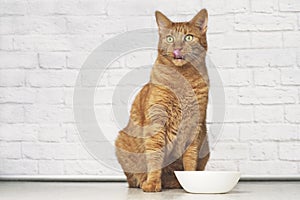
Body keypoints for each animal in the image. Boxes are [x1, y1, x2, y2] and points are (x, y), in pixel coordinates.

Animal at [116, 9, 210, 192]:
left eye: (188, 37)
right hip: (122, 141)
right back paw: (145, 181)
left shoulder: (195, 125)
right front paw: (152, 183)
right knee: (133, 179)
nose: (177, 48)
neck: (182, 80)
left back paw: (175, 182)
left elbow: (190, 158)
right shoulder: (156, 121)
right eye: (170, 38)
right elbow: (155, 156)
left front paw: (190, 180)